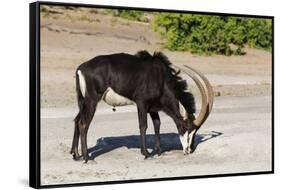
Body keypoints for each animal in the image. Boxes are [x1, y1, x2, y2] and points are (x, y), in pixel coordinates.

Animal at [69, 50, 212, 163]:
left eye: (195, 131)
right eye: (187, 128)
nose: (188, 150)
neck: (161, 78)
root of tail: (81, 68)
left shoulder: (152, 107)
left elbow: (157, 123)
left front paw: (158, 150)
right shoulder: (141, 103)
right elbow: (143, 125)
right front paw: (146, 153)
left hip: (83, 101)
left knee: (77, 120)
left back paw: (76, 154)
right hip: (92, 100)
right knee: (83, 123)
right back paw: (87, 157)